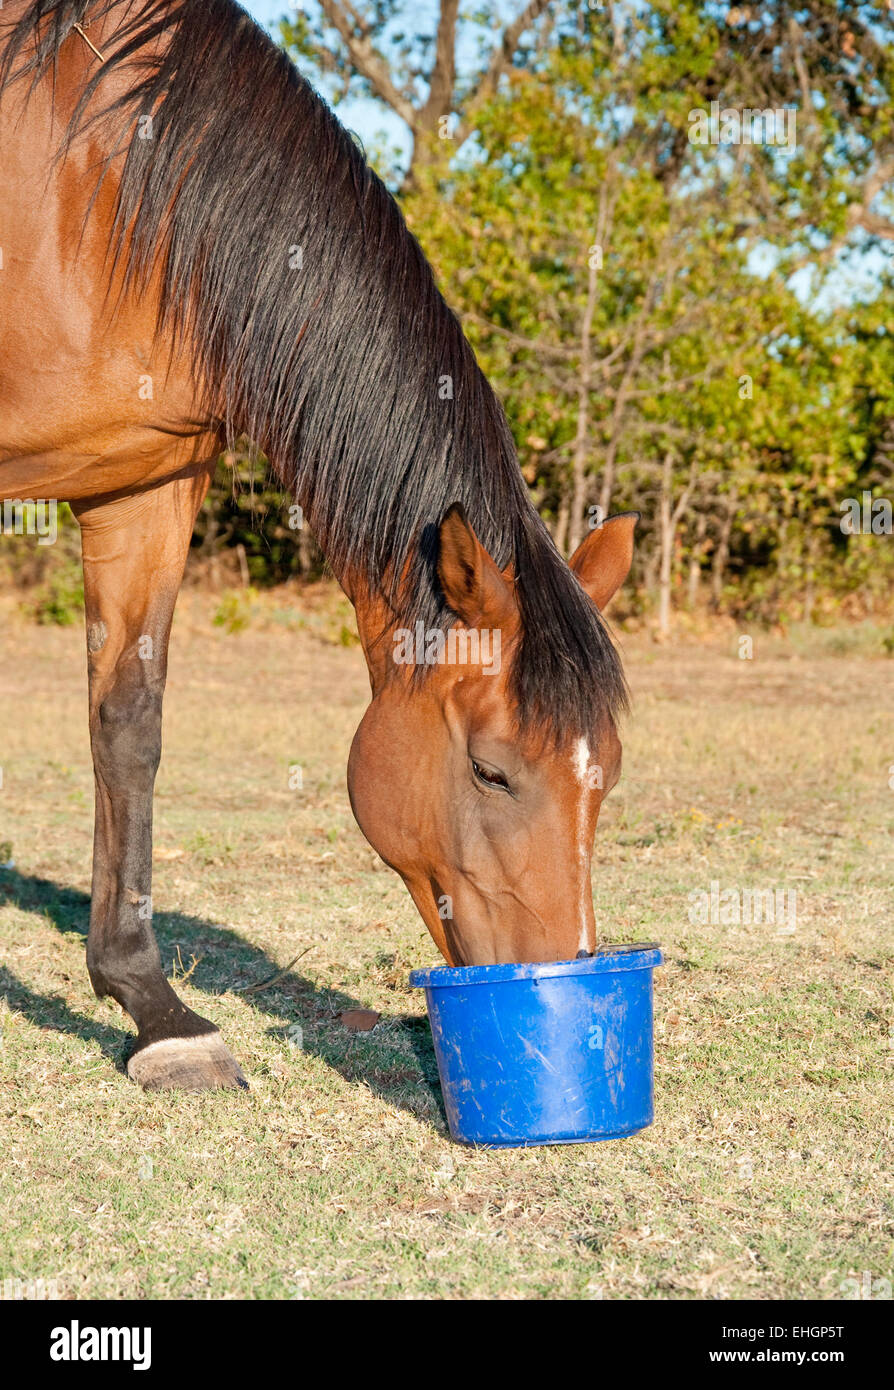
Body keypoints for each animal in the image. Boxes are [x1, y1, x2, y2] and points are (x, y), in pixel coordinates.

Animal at [3, 0, 639, 1089]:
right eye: (492, 771)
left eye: (610, 776)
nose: (565, 968)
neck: (98, 183)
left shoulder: (143, 485)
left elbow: (127, 726)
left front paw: (156, 1011)